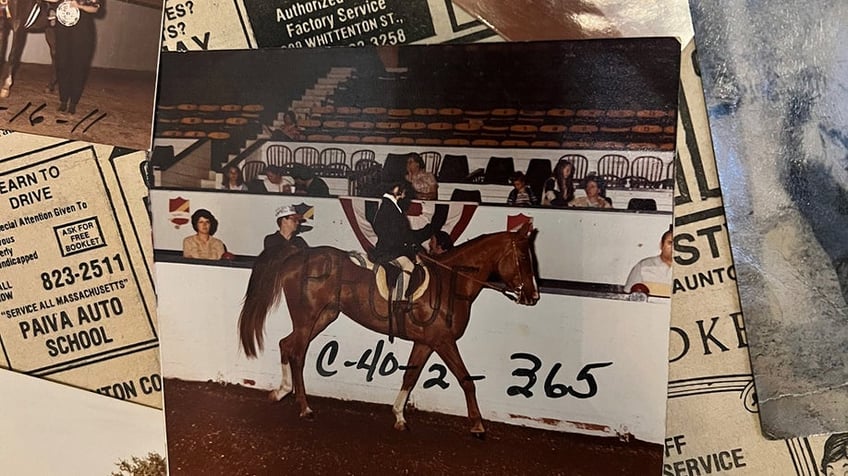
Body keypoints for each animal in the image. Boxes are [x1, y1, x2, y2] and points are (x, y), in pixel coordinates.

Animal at [237, 223, 536, 438]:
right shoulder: (443, 340)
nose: (533, 297)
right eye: (523, 256)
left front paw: (400, 417)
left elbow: (410, 377)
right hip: (307, 317)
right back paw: (304, 407)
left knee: (287, 345)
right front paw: (478, 426)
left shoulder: (426, 342)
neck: (452, 284)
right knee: (297, 352)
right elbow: (466, 380)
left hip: (322, 317)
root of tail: (298, 255)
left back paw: (281, 392)